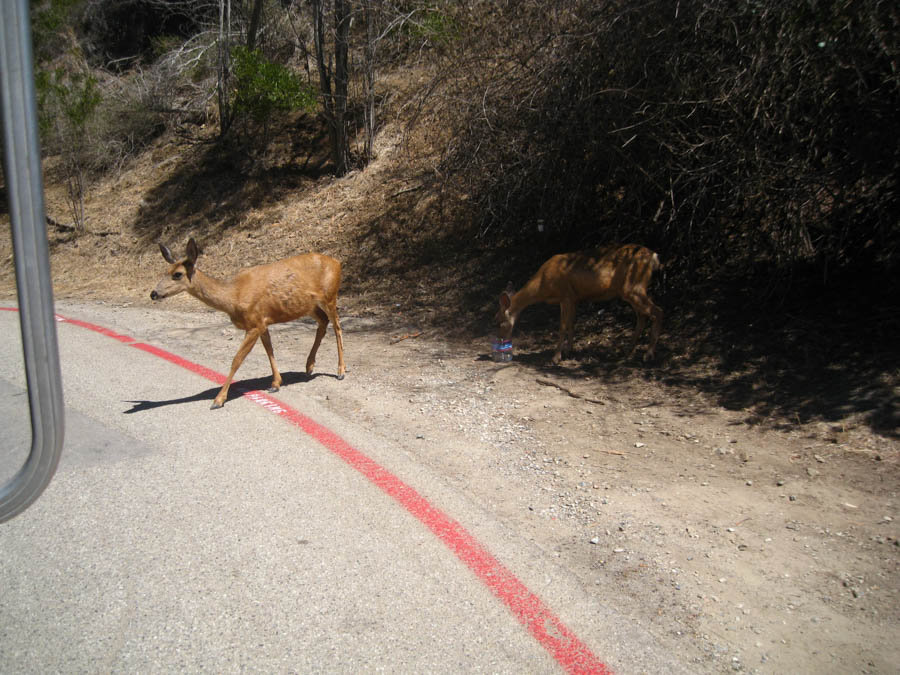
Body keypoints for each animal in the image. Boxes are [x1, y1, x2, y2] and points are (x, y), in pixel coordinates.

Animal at [149, 239, 346, 406]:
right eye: (165, 272)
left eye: (177, 274)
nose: (153, 293)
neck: (233, 296)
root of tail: (337, 262)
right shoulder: (262, 321)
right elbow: (269, 349)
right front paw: (275, 383)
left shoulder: (254, 323)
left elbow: (237, 359)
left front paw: (219, 399)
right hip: (309, 305)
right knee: (323, 322)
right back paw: (309, 366)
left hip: (330, 295)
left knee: (337, 326)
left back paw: (340, 371)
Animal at [492, 244, 660, 364]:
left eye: (499, 322)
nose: (501, 339)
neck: (542, 285)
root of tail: (654, 257)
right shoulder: (573, 298)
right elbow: (571, 323)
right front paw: (569, 351)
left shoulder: (565, 295)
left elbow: (562, 326)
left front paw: (556, 357)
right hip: (631, 290)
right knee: (642, 315)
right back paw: (629, 350)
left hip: (633, 287)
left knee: (657, 311)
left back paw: (648, 354)